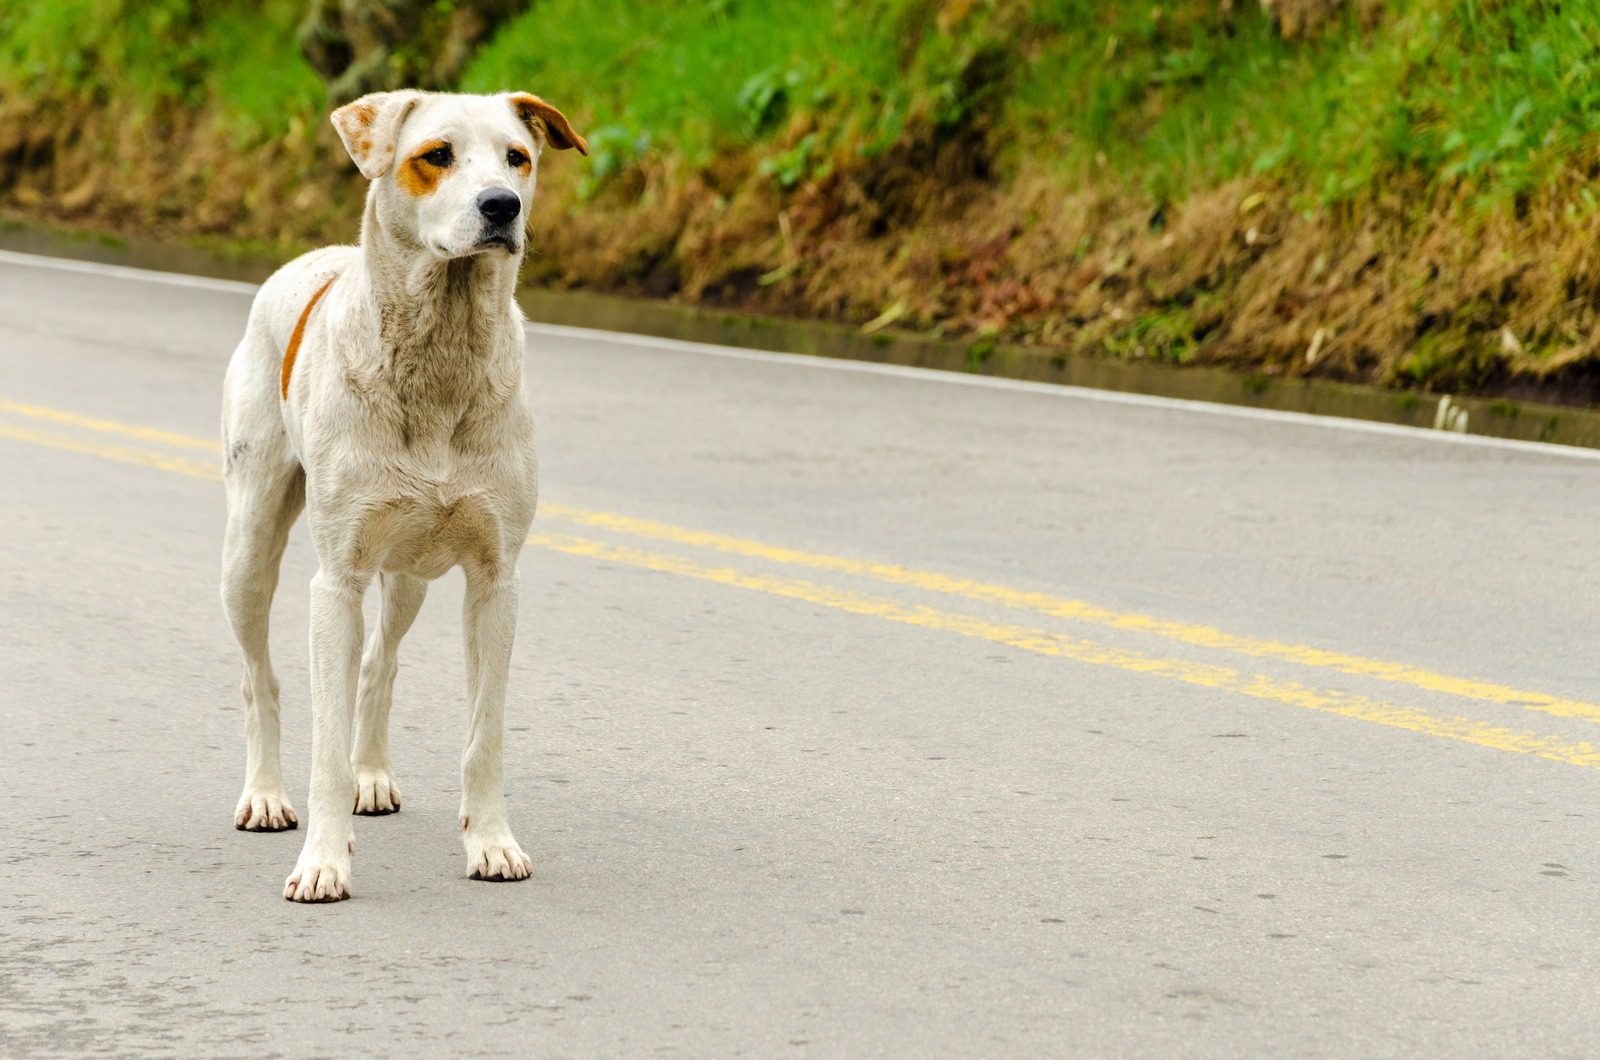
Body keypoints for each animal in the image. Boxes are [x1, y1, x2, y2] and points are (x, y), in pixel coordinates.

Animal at [216, 89, 585, 903]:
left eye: (519, 157)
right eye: (436, 155)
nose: (503, 206)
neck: (443, 348)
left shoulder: (495, 582)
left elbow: (484, 734)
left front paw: (492, 843)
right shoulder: (338, 581)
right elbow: (322, 743)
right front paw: (323, 863)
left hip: (410, 574)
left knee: (376, 667)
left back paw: (372, 776)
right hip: (248, 547)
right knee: (261, 678)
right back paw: (264, 795)